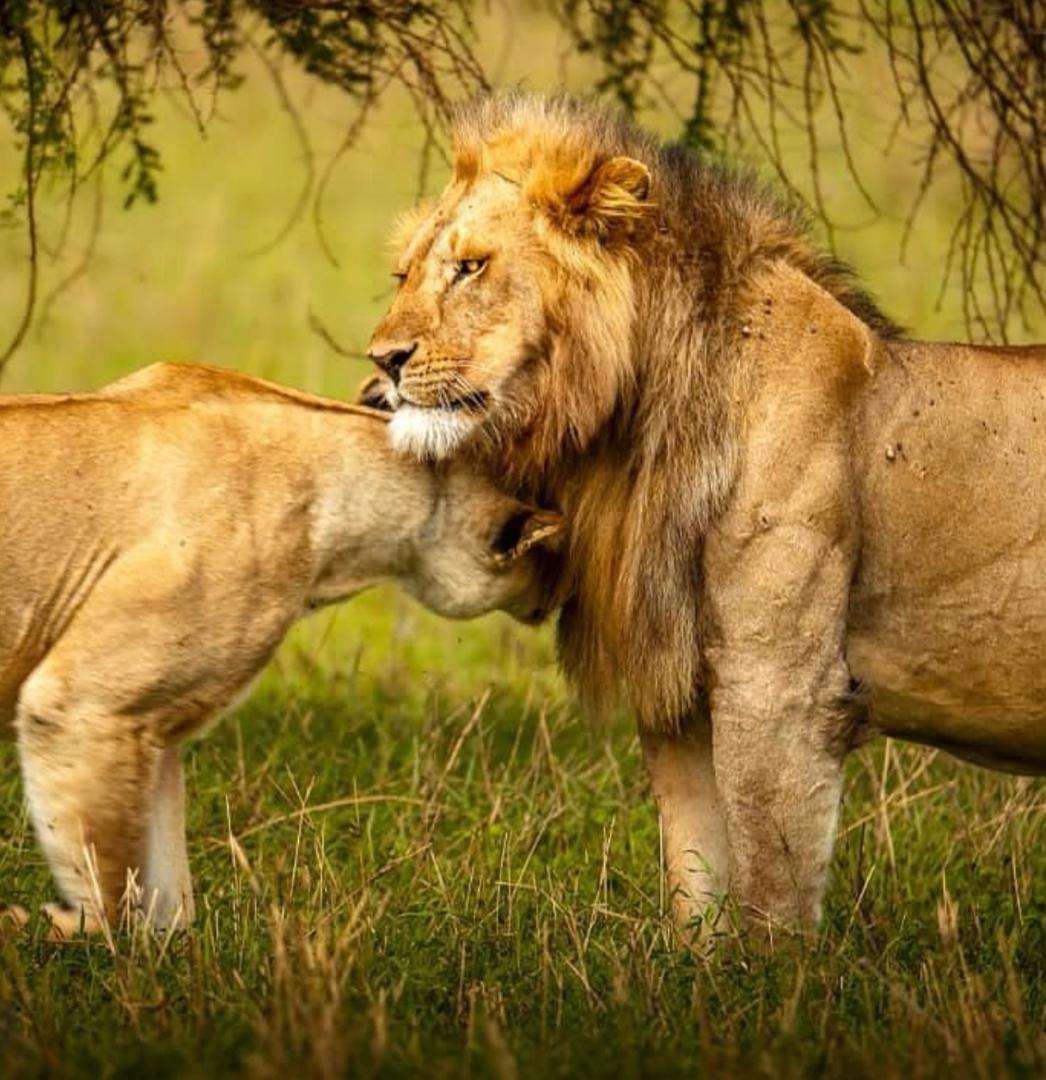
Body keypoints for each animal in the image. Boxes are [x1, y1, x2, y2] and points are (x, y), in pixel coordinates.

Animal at [0, 362, 561, 938]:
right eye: (554, 559)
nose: (559, 599)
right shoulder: (84, 708)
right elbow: (111, 884)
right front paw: (61, 930)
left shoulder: (147, 727)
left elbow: (167, 883)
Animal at [365, 90, 1046, 939]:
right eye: (404, 272)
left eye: (470, 267)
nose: (381, 361)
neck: (630, 432)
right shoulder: (681, 691)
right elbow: (697, 874)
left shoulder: (779, 689)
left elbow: (770, 891)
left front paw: (778, 977)